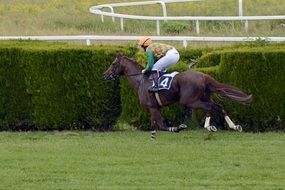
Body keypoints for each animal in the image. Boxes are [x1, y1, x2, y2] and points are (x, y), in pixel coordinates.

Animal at [103, 53, 251, 138]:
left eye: (113, 63)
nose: (105, 74)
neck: (141, 80)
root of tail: (203, 76)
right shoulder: (154, 107)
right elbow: (154, 125)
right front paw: (153, 136)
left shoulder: (152, 107)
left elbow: (161, 125)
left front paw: (178, 127)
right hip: (204, 96)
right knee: (218, 106)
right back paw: (234, 126)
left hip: (189, 100)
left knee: (209, 107)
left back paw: (209, 126)